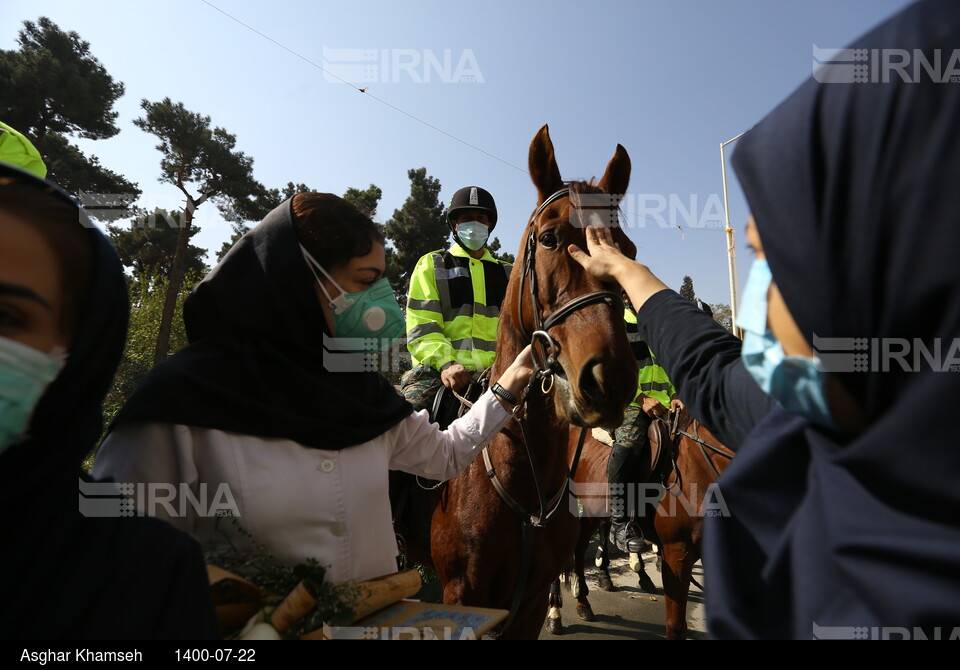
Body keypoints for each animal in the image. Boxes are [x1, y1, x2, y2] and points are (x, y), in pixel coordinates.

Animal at [548, 410, 736, 640]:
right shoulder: (676, 552)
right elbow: (676, 625)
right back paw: (555, 613)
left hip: (594, 505)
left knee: (580, 543)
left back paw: (583, 602)